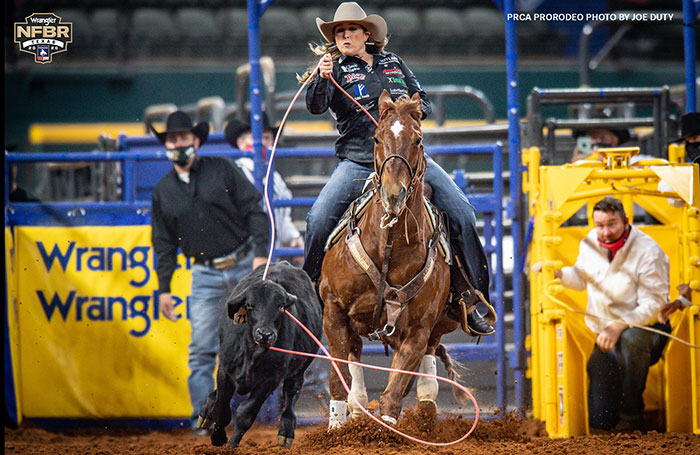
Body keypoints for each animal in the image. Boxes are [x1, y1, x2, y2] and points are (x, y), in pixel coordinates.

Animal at [318, 91, 462, 430]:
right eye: (377, 138)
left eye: (418, 140)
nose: (394, 195)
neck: (389, 250)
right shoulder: (334, 310)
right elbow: (339, 377)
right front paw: (336, 429)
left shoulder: (419, 328)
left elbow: (394, 392)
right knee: (354, 357)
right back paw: (357, 410)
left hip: (435, 325)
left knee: (427, 364)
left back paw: (426, 410)